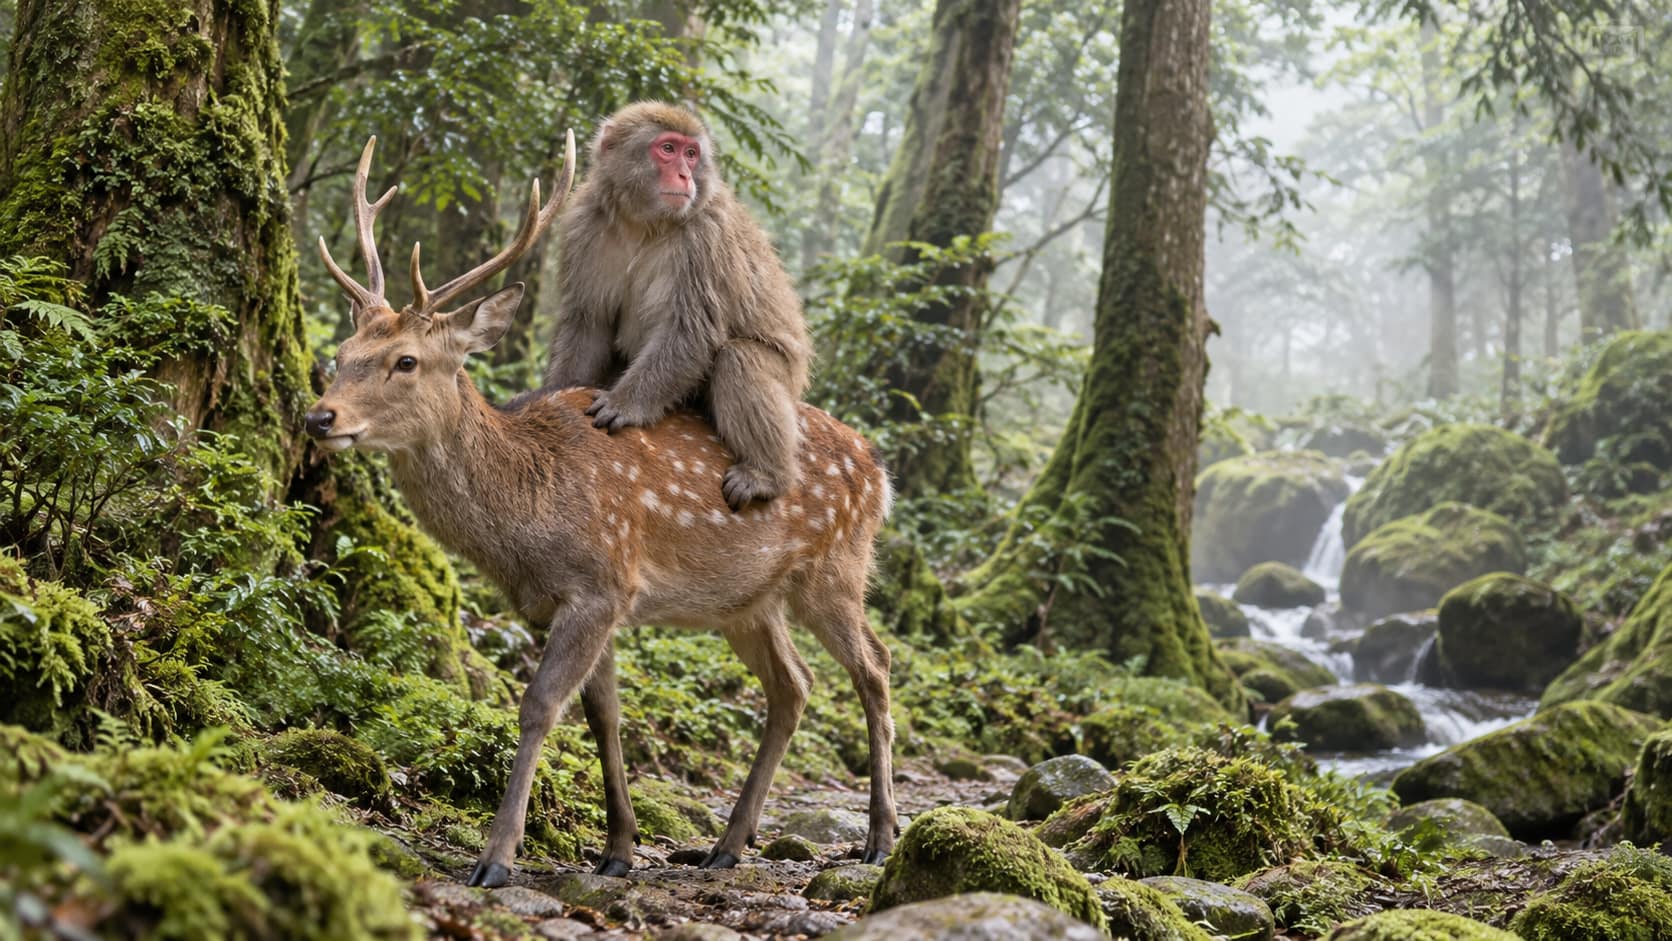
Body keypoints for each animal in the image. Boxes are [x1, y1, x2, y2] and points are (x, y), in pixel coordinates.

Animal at [542, 102, 811, 511]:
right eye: (667, 149)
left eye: (691, 154)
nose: (685, 175)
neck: (642, 222)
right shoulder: (583, 223)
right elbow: (589, 323)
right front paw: (552, 398)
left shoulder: (706, 236)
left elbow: (691, 332)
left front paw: (624, 404)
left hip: (788, 379)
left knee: (740, 359)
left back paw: (768, 476)